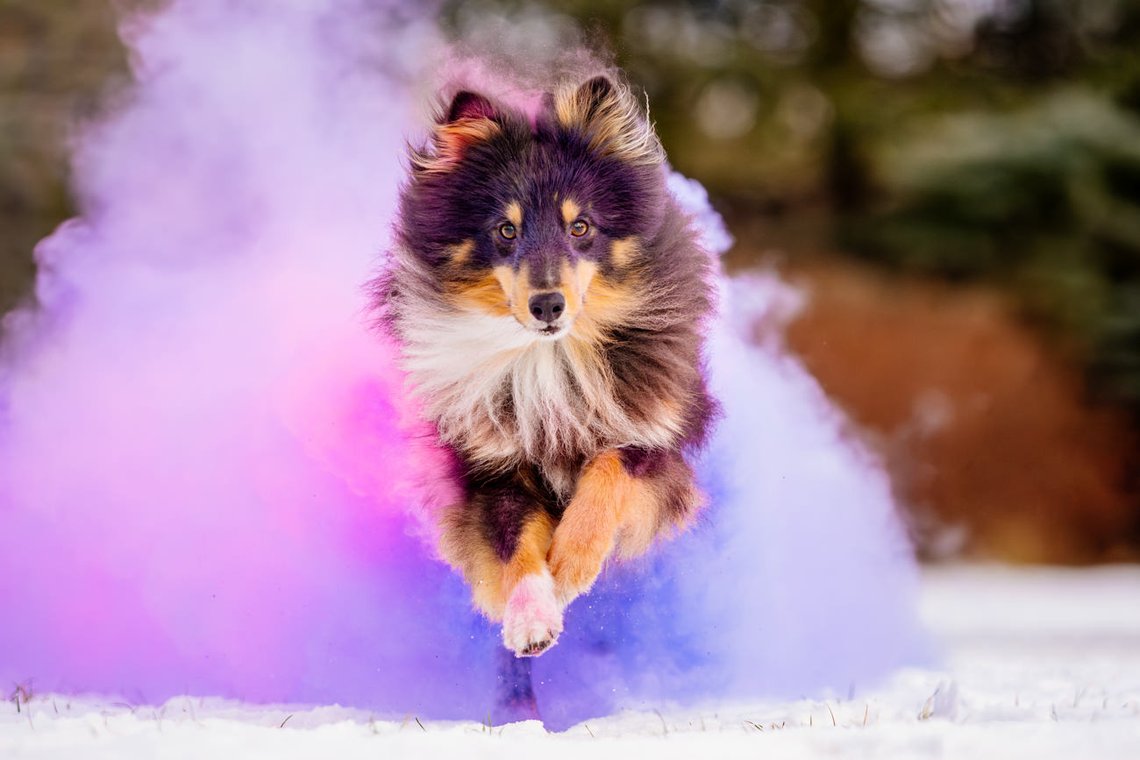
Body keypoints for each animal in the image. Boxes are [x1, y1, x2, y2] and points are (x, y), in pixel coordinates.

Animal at [378, 72, 715, 660]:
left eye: (580, 227)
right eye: (505, 231)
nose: (548, 306)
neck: (548, 358)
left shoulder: (654, 436)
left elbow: (608, 471)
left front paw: (571, 566)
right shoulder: (491, 469)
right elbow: (512, 543)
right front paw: (532, 619)